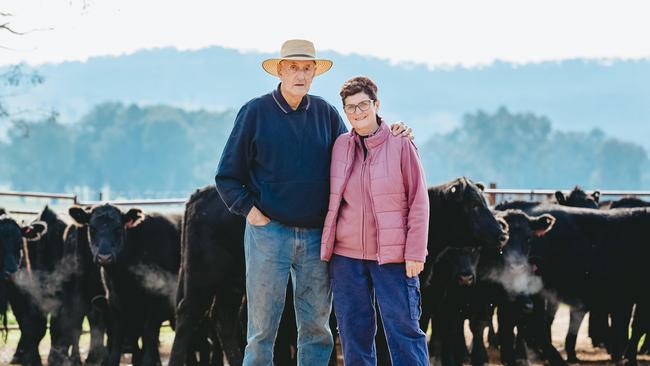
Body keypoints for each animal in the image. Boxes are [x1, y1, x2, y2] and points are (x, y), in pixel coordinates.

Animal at [68, 203, 181, 366]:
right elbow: (117, 339)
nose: (104, 257)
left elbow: (149, 335)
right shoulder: (116, 304)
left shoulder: (155, 304)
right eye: (92, 229)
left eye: (118, 229)